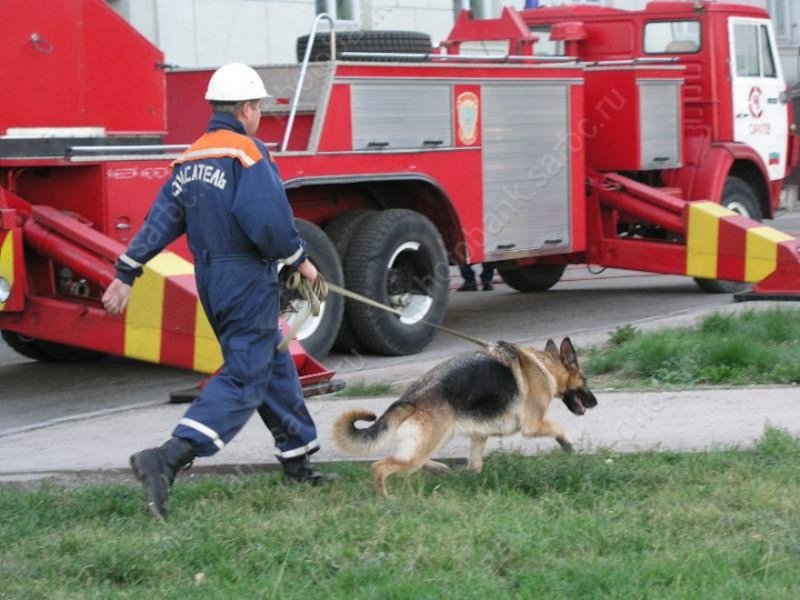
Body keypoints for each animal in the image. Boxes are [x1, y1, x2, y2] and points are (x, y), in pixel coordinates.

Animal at [332, 338, 600, 496]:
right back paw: (386, 499)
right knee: (380, 466)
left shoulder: (479, 435)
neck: (544, 366)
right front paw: (568, 445)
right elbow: (558, 428)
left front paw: (472, 480)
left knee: (410, 458)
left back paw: (440, 469)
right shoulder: (532, 426)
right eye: (585, 380)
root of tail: (411, 398)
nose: (595, 403)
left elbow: (476, 464)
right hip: (431, 439)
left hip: (428, 440)